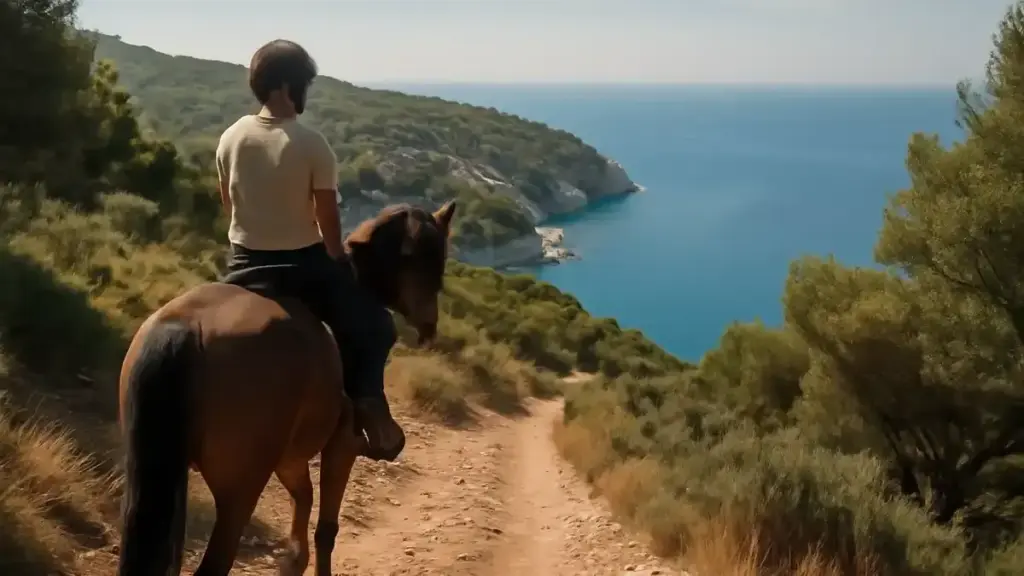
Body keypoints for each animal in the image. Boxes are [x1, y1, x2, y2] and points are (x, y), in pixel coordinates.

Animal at [115, 201, 456, 576]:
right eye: (428, 255)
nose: (429, 326)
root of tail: (188, 328)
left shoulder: (289, 460)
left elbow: (303, 505)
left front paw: (293, 561)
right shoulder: (343, 446)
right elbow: (326, 529)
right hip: (239, 491)